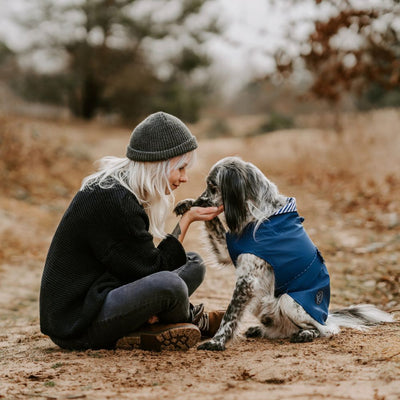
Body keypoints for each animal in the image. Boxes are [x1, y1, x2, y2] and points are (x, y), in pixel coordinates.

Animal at [175, 156, 394, 350]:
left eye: (213, 186)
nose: (199, 201)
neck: (259, 213)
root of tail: (326, 315)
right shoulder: (226, 251)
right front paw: (187, 204)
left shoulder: (247, 280)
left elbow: (230, 316)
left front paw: (217, 342)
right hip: (261, 299)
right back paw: (260, 330)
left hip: (289, 300)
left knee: (327, 329)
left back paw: (306, 334)